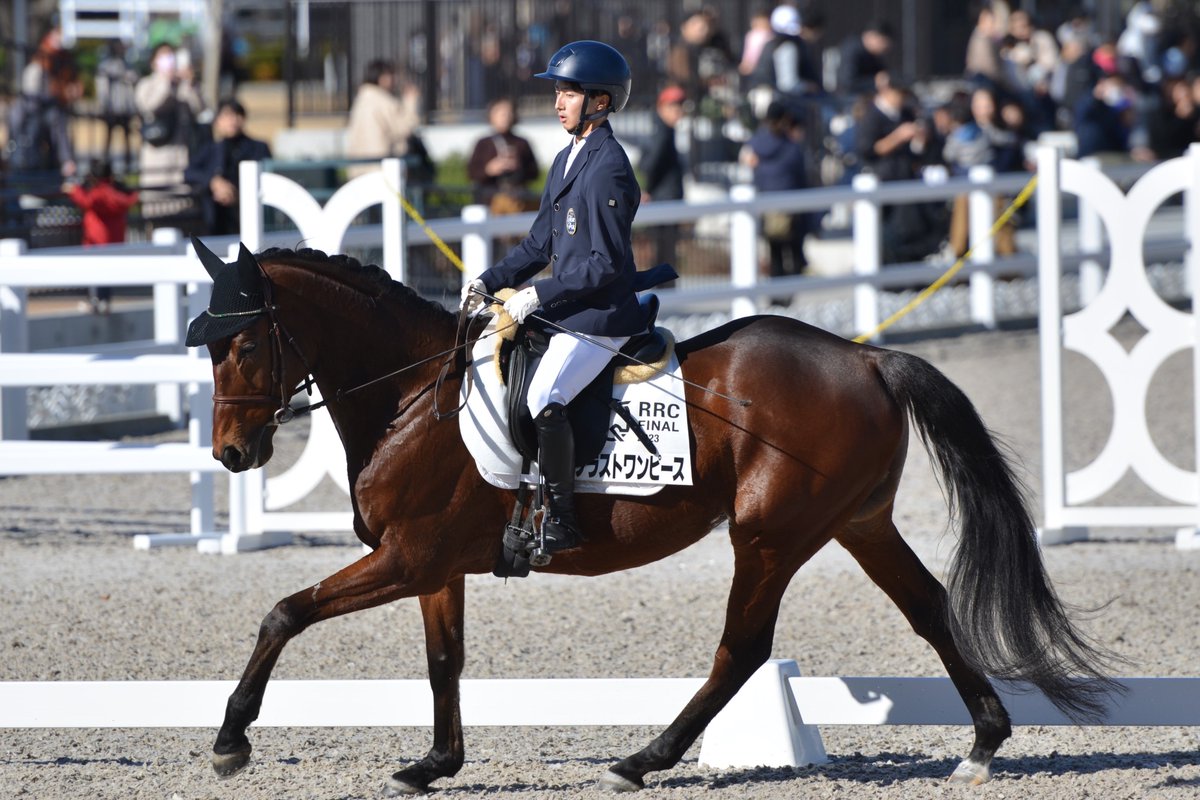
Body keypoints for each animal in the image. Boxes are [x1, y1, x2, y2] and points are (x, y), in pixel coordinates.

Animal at [195, 245, 1117, 794]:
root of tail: (866, 358)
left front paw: (233, 739)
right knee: (927, 607)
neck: (413, 395)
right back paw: (983, 744)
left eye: (240, 345)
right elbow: (444, 662)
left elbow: (283, 613)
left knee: (743, 648)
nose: (232, 455)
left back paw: (643, 760)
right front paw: (434, 763)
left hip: (769, 535)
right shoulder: (434, 565)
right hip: (858, 523)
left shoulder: (410, 556)